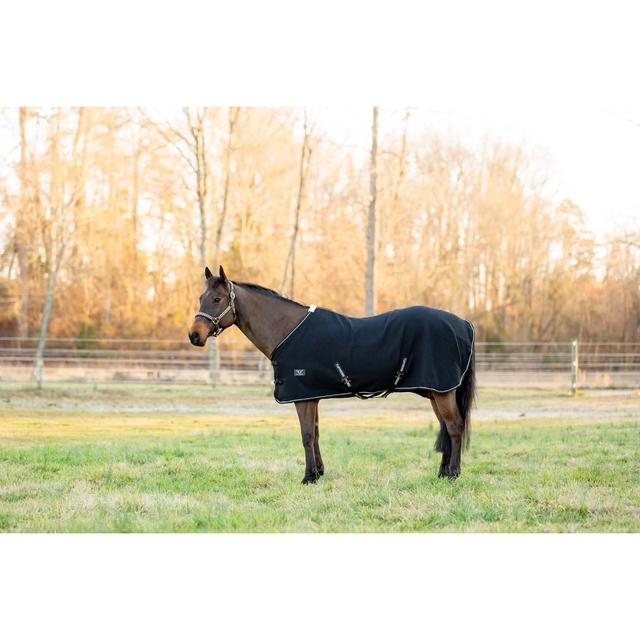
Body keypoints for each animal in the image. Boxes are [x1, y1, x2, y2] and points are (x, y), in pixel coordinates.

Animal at [189, 265, 476, 484]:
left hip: (444, 392)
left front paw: (307, 478)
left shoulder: (302, 397)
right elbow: (315, 433)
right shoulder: (312, 396)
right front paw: (318, 473)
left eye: (217, 300)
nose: (194, 335)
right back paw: (442, 473)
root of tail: (463, 323)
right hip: (436, 392)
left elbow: (306, 435)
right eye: (201, 297)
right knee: (446, 428)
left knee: (454, 427)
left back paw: (453, 474)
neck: (287, 330)